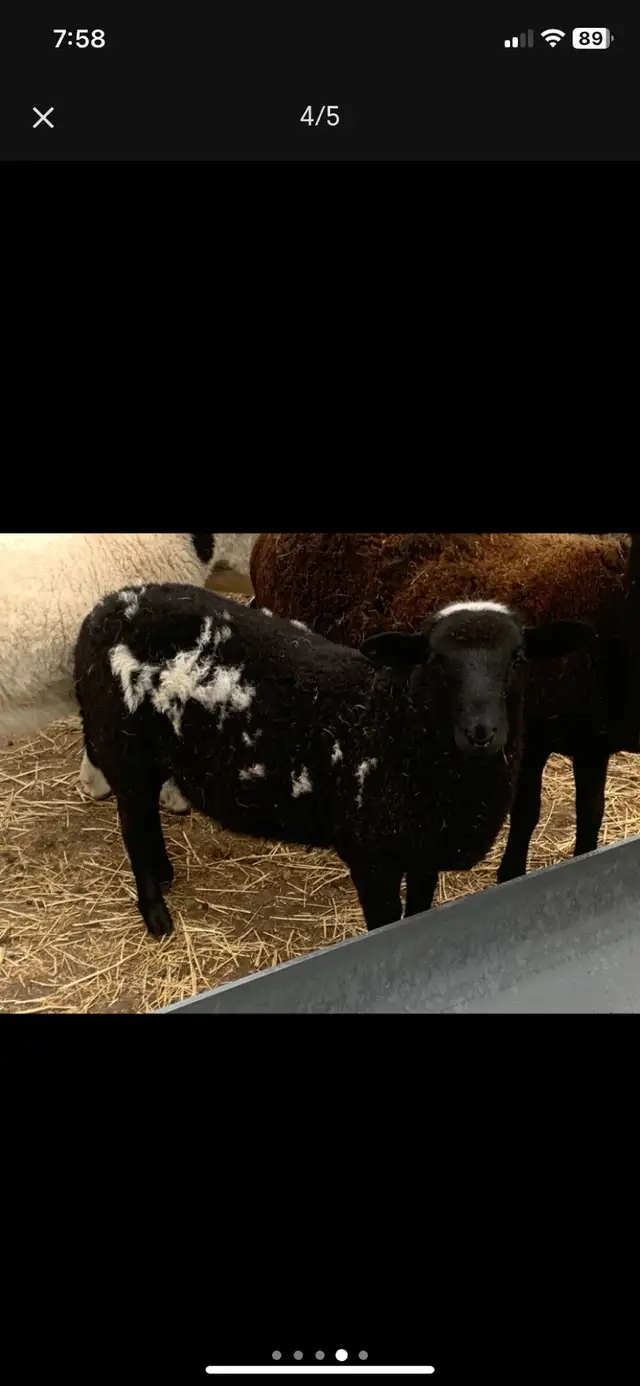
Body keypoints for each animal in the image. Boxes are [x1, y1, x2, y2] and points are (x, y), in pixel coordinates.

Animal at [73, 581, 591, 939]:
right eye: (435, 661)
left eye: (519, 658)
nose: (482, 732)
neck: (395, 724)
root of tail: (105, 608)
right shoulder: (372, 858)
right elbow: (385, 924)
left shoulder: (422, 851)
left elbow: (419, 911)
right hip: (123, 747)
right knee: (132, 823)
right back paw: (156, 913)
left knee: (145, 819)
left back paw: (165, 873)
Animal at [250, 531, 638, 881]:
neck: (611, 600)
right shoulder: (531, 740)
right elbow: (527, 813)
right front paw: (510, 874)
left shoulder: (592, 744)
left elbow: (591, 815)